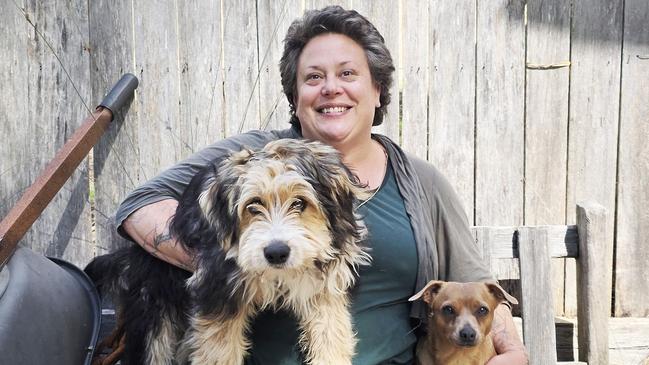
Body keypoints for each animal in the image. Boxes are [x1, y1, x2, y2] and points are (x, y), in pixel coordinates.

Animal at [85, 138, 370, 362]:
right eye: (253, 206)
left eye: (300, 203)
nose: (276, 253)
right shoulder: (218, 292)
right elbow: (218, 353)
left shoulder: (325, 291)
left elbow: (331, 340)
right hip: (153, 313)